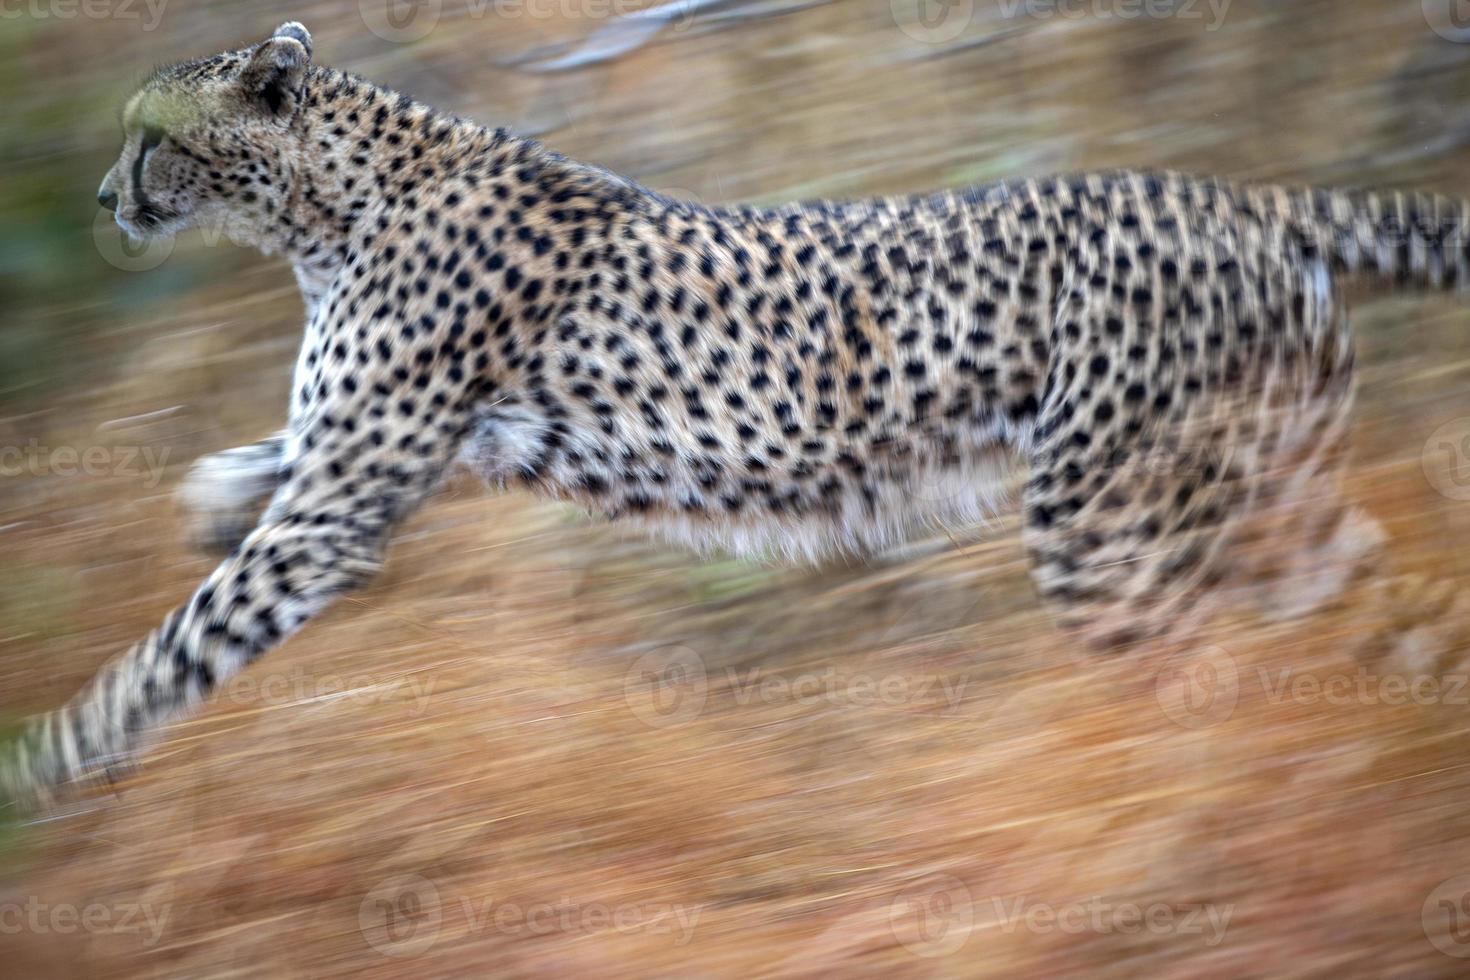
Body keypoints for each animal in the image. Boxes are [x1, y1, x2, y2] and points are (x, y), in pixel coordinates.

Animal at [2, 19, 1470, 811]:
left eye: (153, 135)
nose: (106, 196)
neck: (326, 204)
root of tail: (1241, 196)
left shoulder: (347, 488)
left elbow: (174, 647)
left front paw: (44, 769)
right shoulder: (366, 459)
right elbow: (242, 473)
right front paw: (202, 508)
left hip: (1109, 524)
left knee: (1193, 685)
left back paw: (1167, 819)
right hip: (1271, 499)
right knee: (1397, 622)